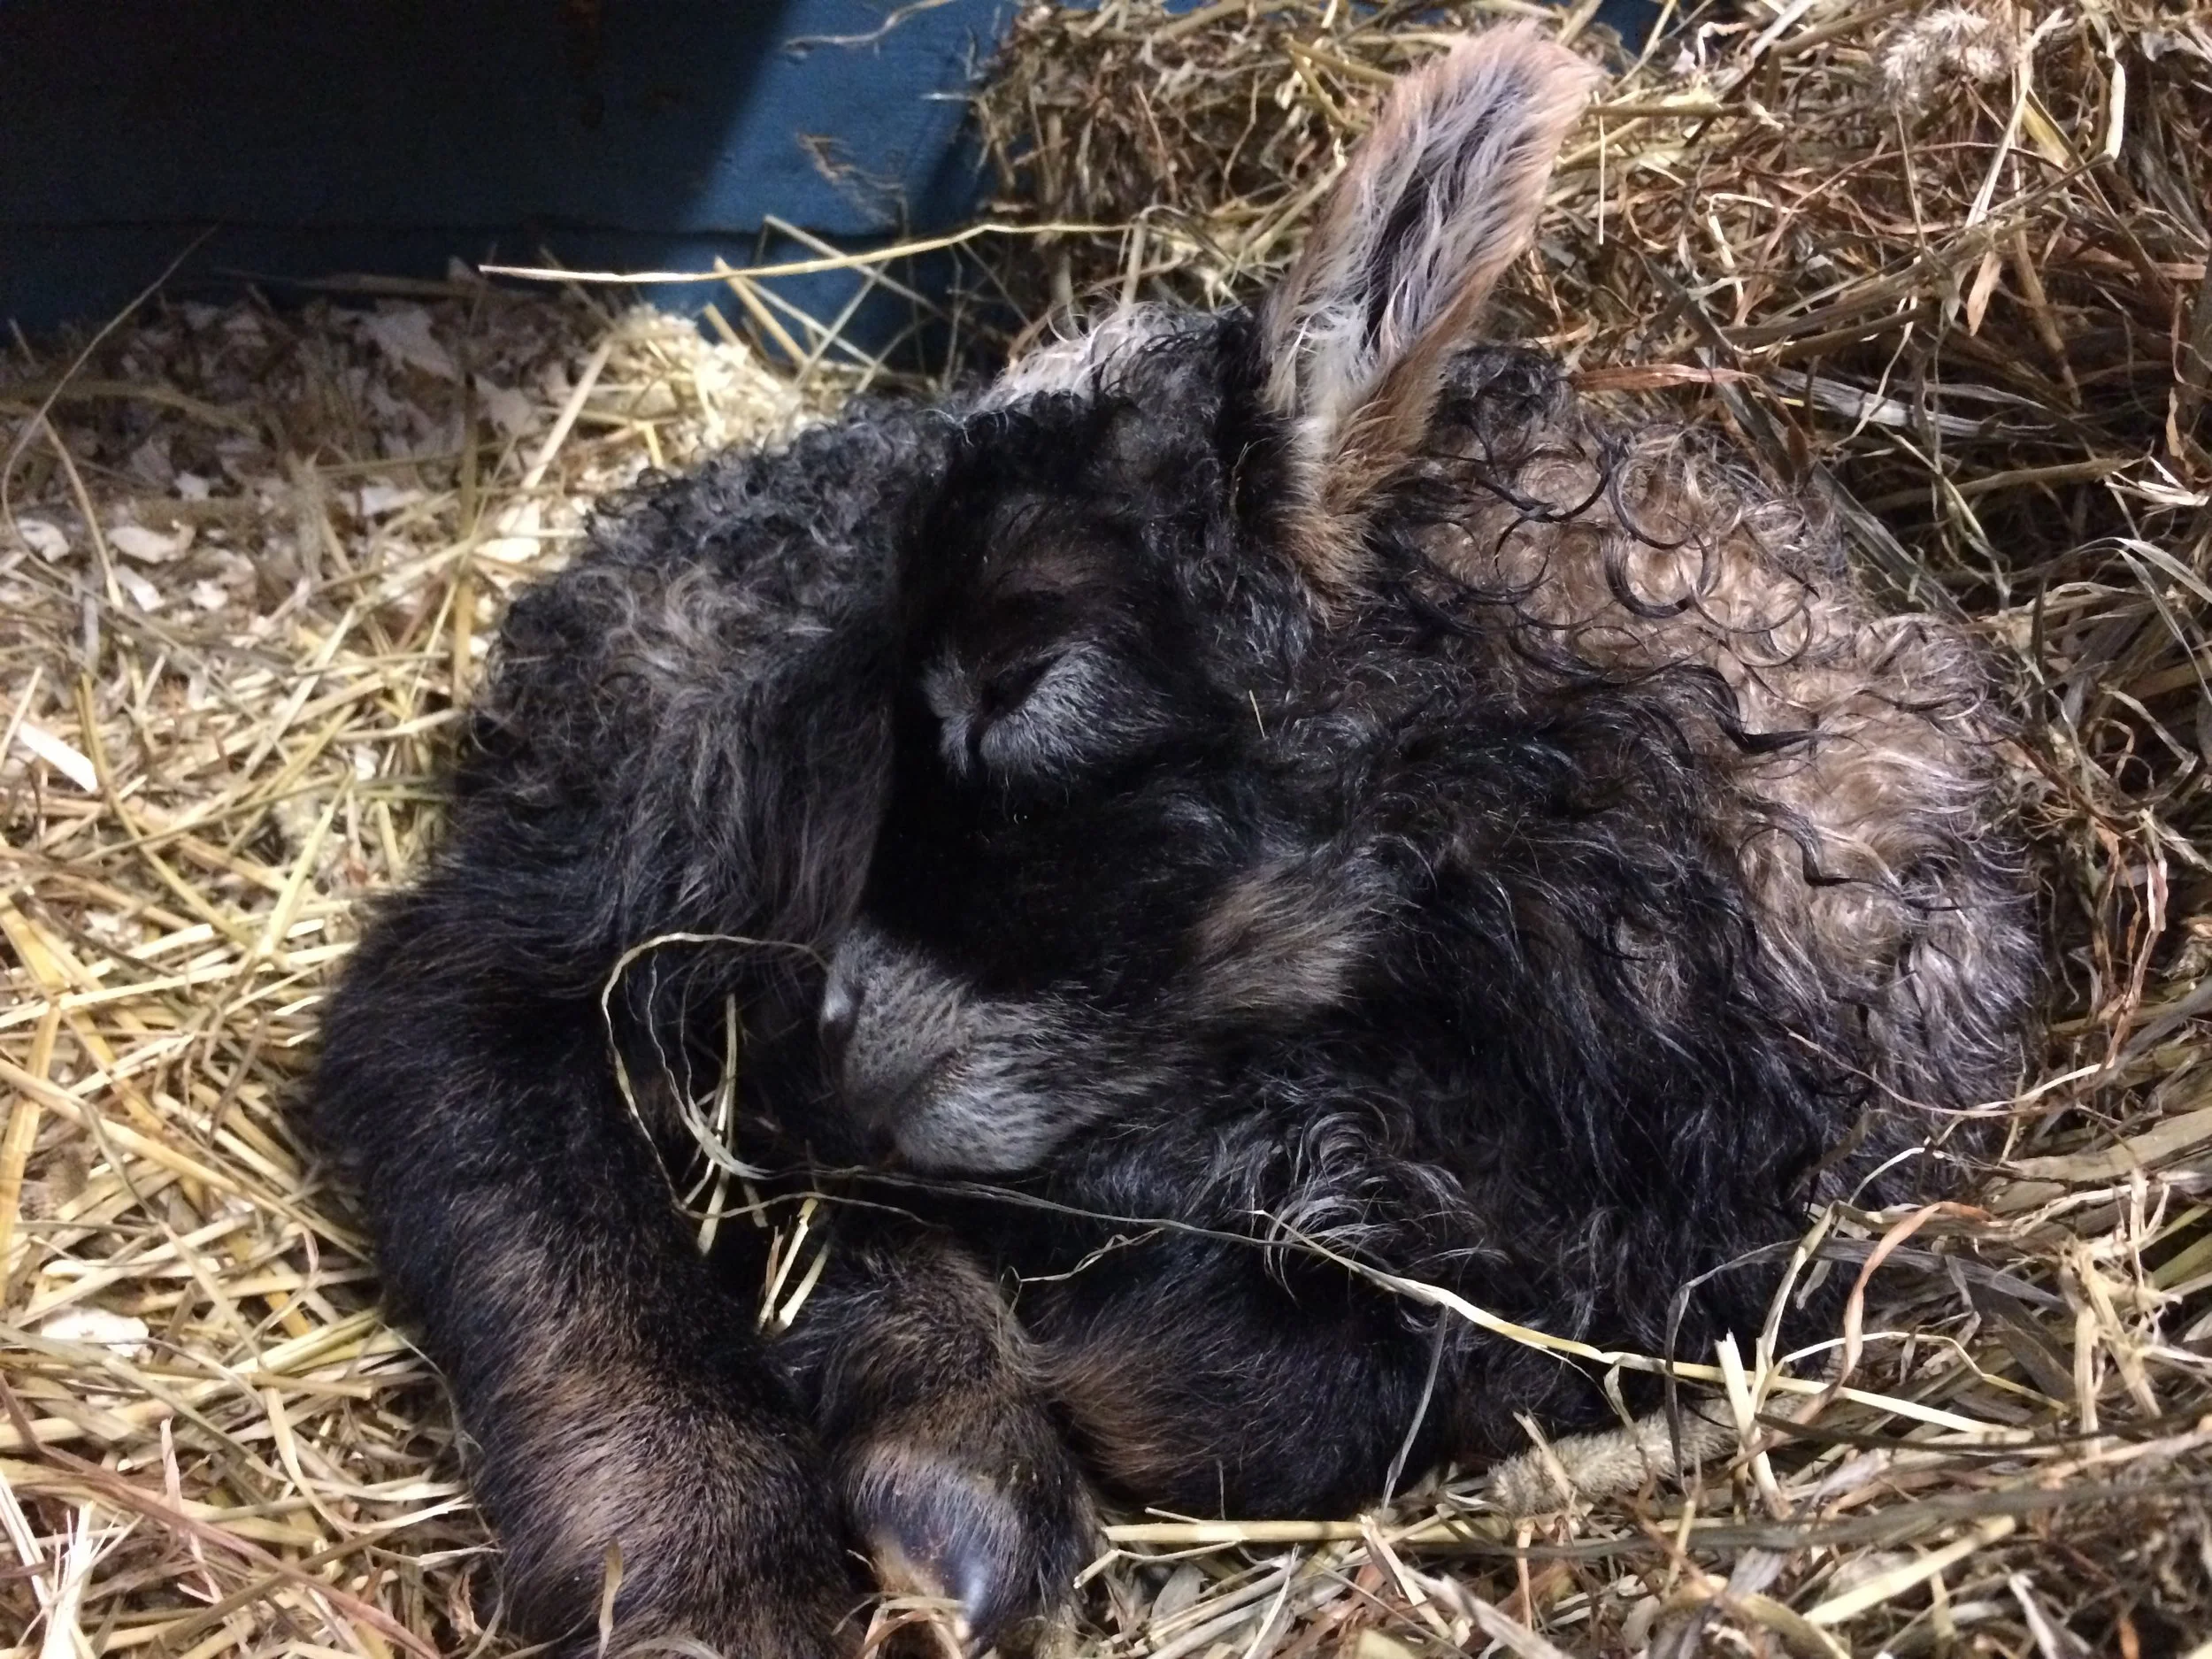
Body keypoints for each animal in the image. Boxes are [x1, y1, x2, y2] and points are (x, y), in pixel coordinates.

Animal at [311, 25, 2033, 1658]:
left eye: (1023, 672)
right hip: (698, 793)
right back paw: (722, 1544)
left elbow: (1247, 1393)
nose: (835, 1042)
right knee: (456, 1014)